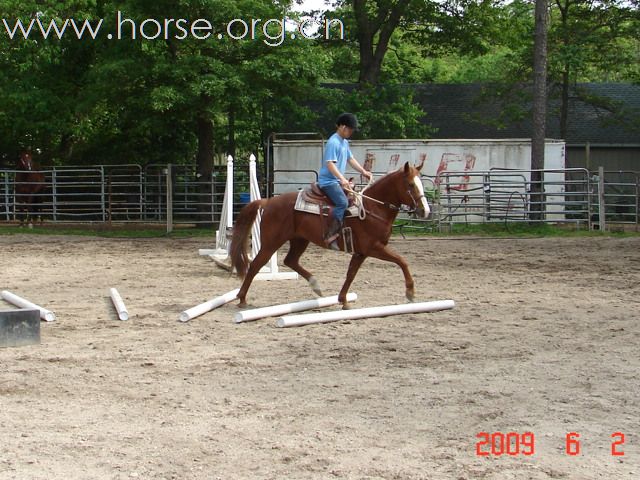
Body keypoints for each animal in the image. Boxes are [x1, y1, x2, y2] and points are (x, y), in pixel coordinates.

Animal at [230, 158, 430, 308]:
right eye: (410, 185)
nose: (425, 211)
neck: (373, 208)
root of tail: (268, 201)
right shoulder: (374, 248)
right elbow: (402, 261)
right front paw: (410, 292)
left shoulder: (361, 252)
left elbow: (351, 273)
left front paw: (343, 300)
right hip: (271, 243)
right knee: (255, 265)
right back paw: (242, 298)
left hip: (299, 240)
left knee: (290, 261)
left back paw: (316, 286)